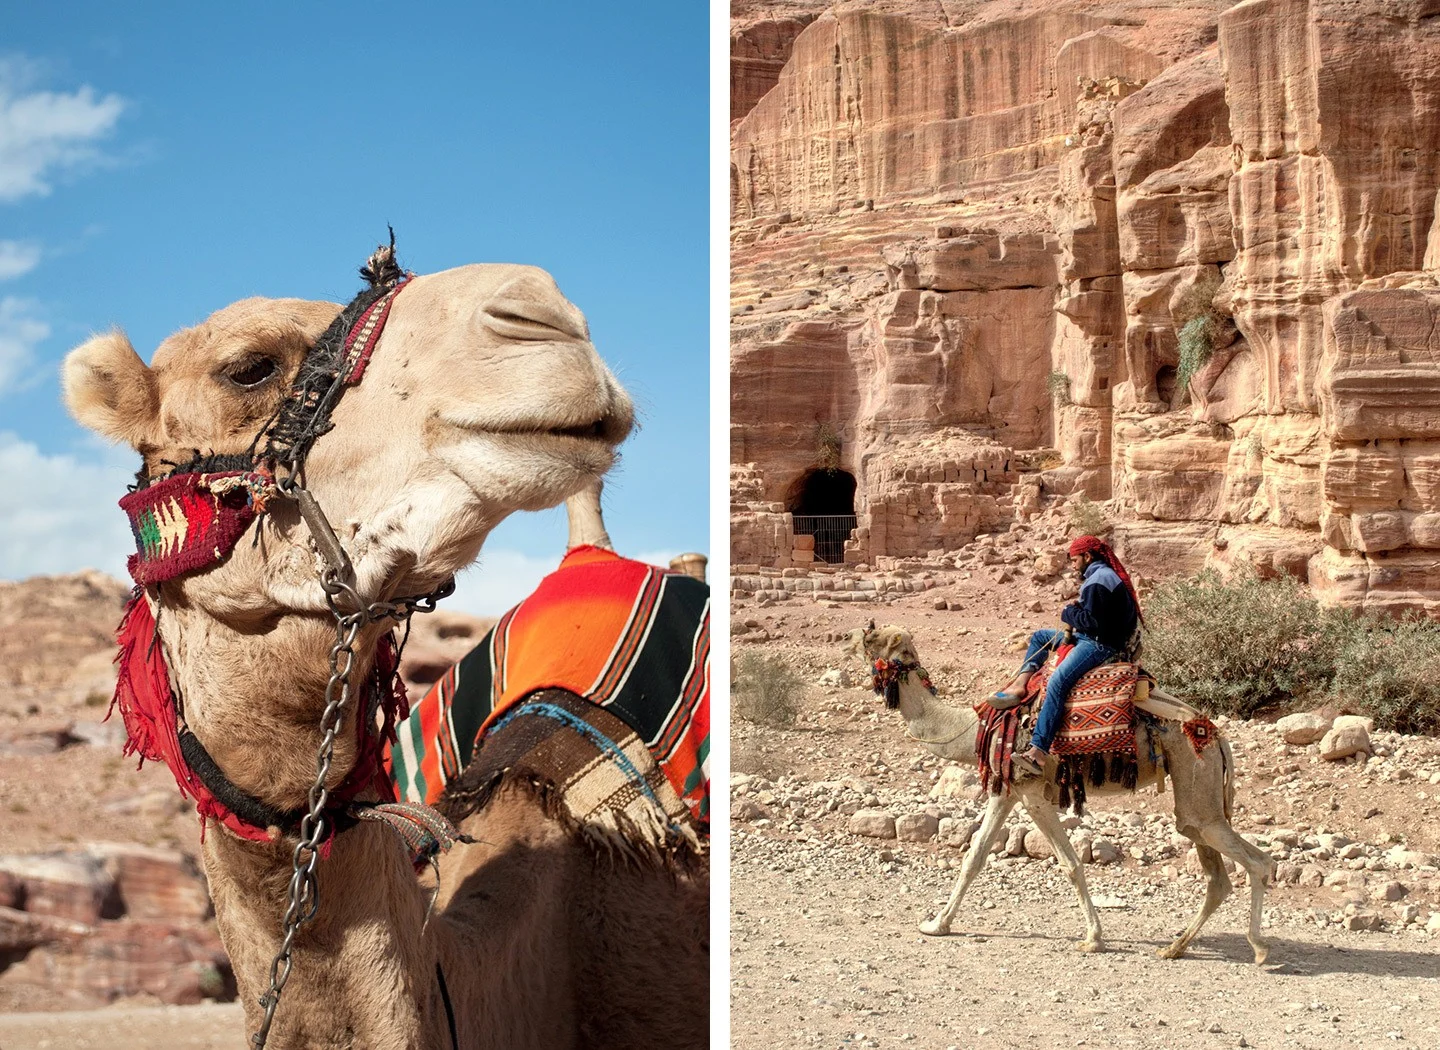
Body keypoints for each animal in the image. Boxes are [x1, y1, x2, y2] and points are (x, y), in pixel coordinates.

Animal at [840, 622, 1272, 956]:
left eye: (870, 638)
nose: (844, 639)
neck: (973, 727)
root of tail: (1216, 735)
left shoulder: (1030, 792)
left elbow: (1070, 863)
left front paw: (1093, 939)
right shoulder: (1006, 790)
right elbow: (975, 857)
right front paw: (937, 924)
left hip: (1198, 781)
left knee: (1257, 861)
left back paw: (1259, 948)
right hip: (1198, 796)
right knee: (1215, 872)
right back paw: (1175, 948)